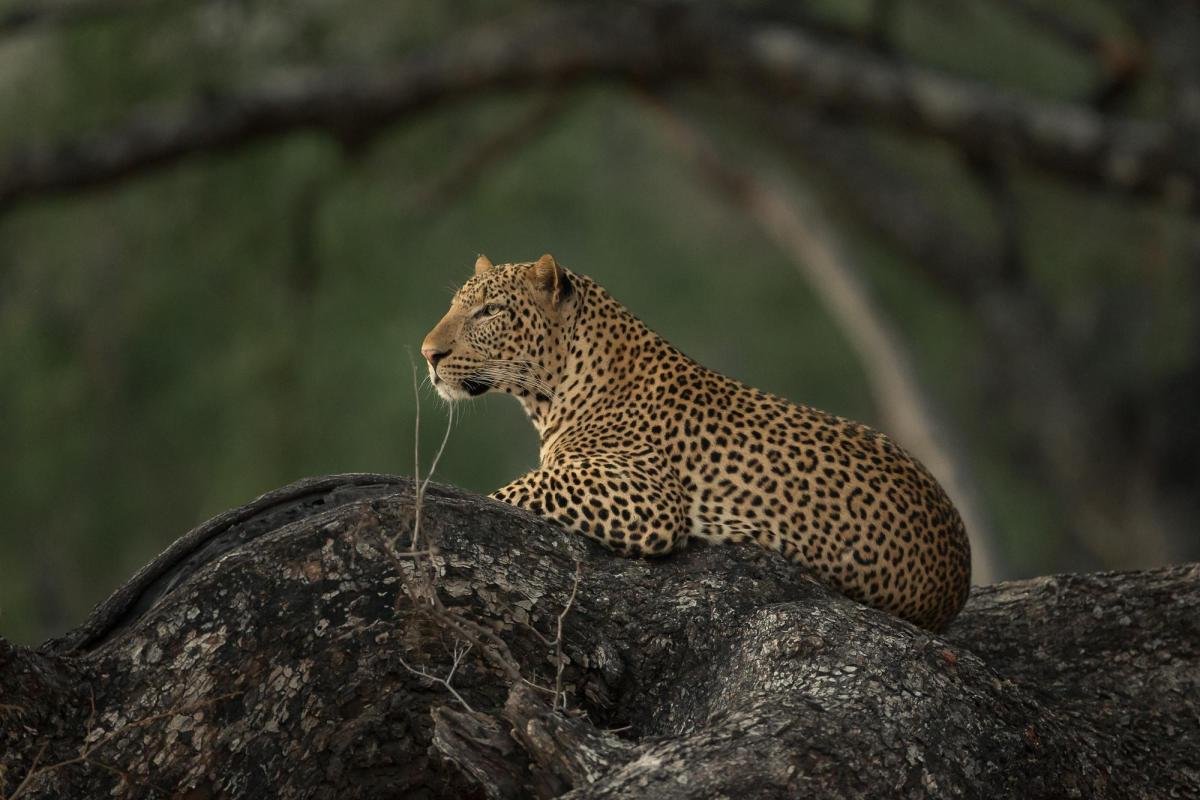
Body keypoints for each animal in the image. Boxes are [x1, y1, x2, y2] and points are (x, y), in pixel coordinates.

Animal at [421, 253, 972, 631]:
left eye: (489, 311)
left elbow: (513, 490)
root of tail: (959, 579)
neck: (555, 392)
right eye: (452, 305)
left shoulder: (644, 494)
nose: (429, 353)